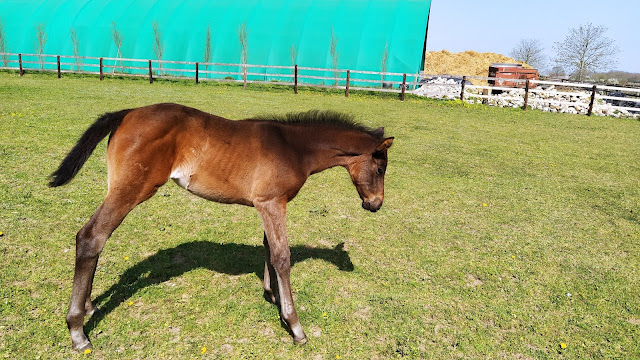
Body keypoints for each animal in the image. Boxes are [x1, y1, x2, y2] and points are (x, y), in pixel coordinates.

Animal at [50, 102, 392, 350]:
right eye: (380, 168)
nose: (375, 204)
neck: (293, 147)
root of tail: (127, 113)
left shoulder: (265, 204)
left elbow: (267, 248)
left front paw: (271, 295)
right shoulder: (272, 202)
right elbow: (282, 256)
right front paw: (294, 326)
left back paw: (89, 306)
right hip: (133, 190)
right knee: (91, 236)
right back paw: (78, 331)